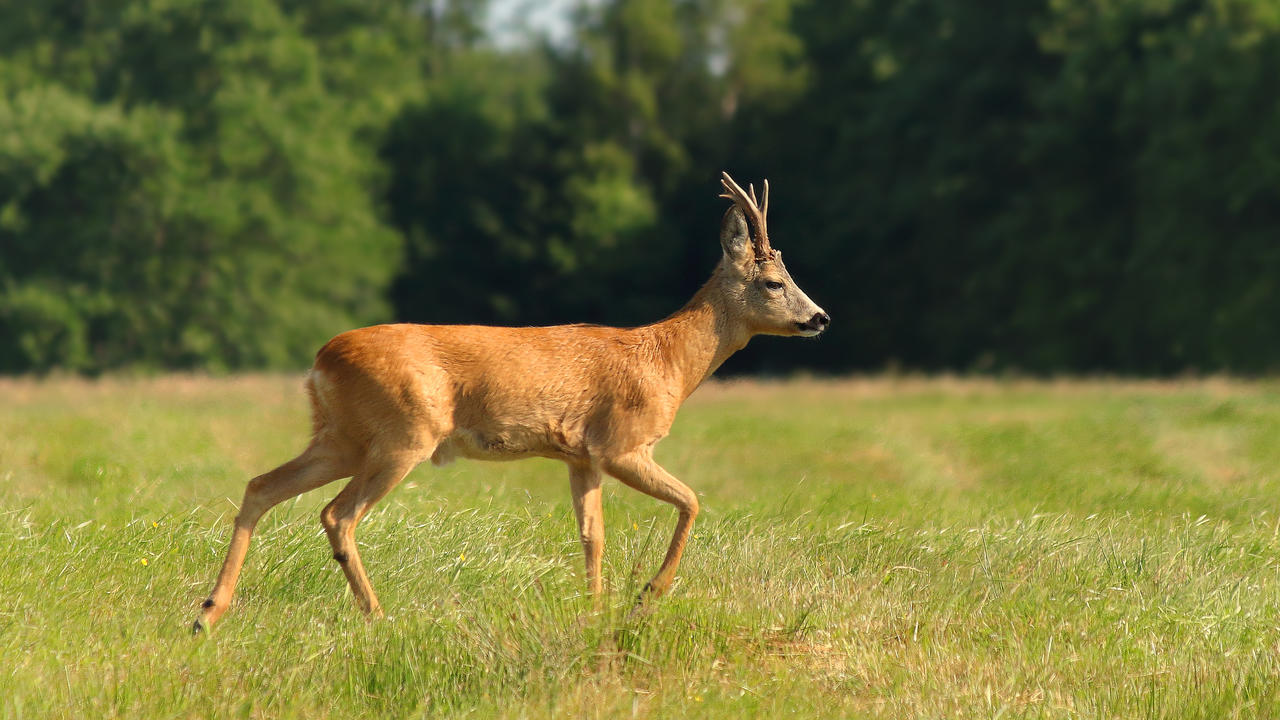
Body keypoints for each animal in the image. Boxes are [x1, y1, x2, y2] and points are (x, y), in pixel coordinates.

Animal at [190, 170, 829, 630]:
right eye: (774, 282)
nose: (820, 317)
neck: (667, 362)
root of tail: (322, 359)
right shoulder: (622, 444)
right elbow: (692, 501)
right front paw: (648, 594)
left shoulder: (581, 456)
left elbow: (593, 536)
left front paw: (595, 612)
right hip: (402, 435)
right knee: (336, 514)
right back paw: (376, 615)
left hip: (342, 435)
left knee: (262, 486)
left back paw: (208, 613)